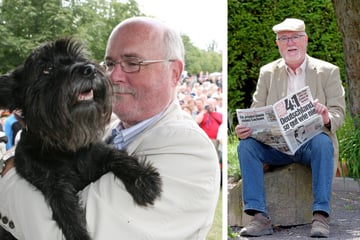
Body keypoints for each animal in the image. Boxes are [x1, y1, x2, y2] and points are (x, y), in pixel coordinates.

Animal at [0, 38, 162, 239]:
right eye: (47, 68)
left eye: (79, 58)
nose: (88, 69)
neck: (64, 147)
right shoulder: (55, 186)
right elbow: (68, 215)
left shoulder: (99, 154)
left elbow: (117, 156)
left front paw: (144, 178)